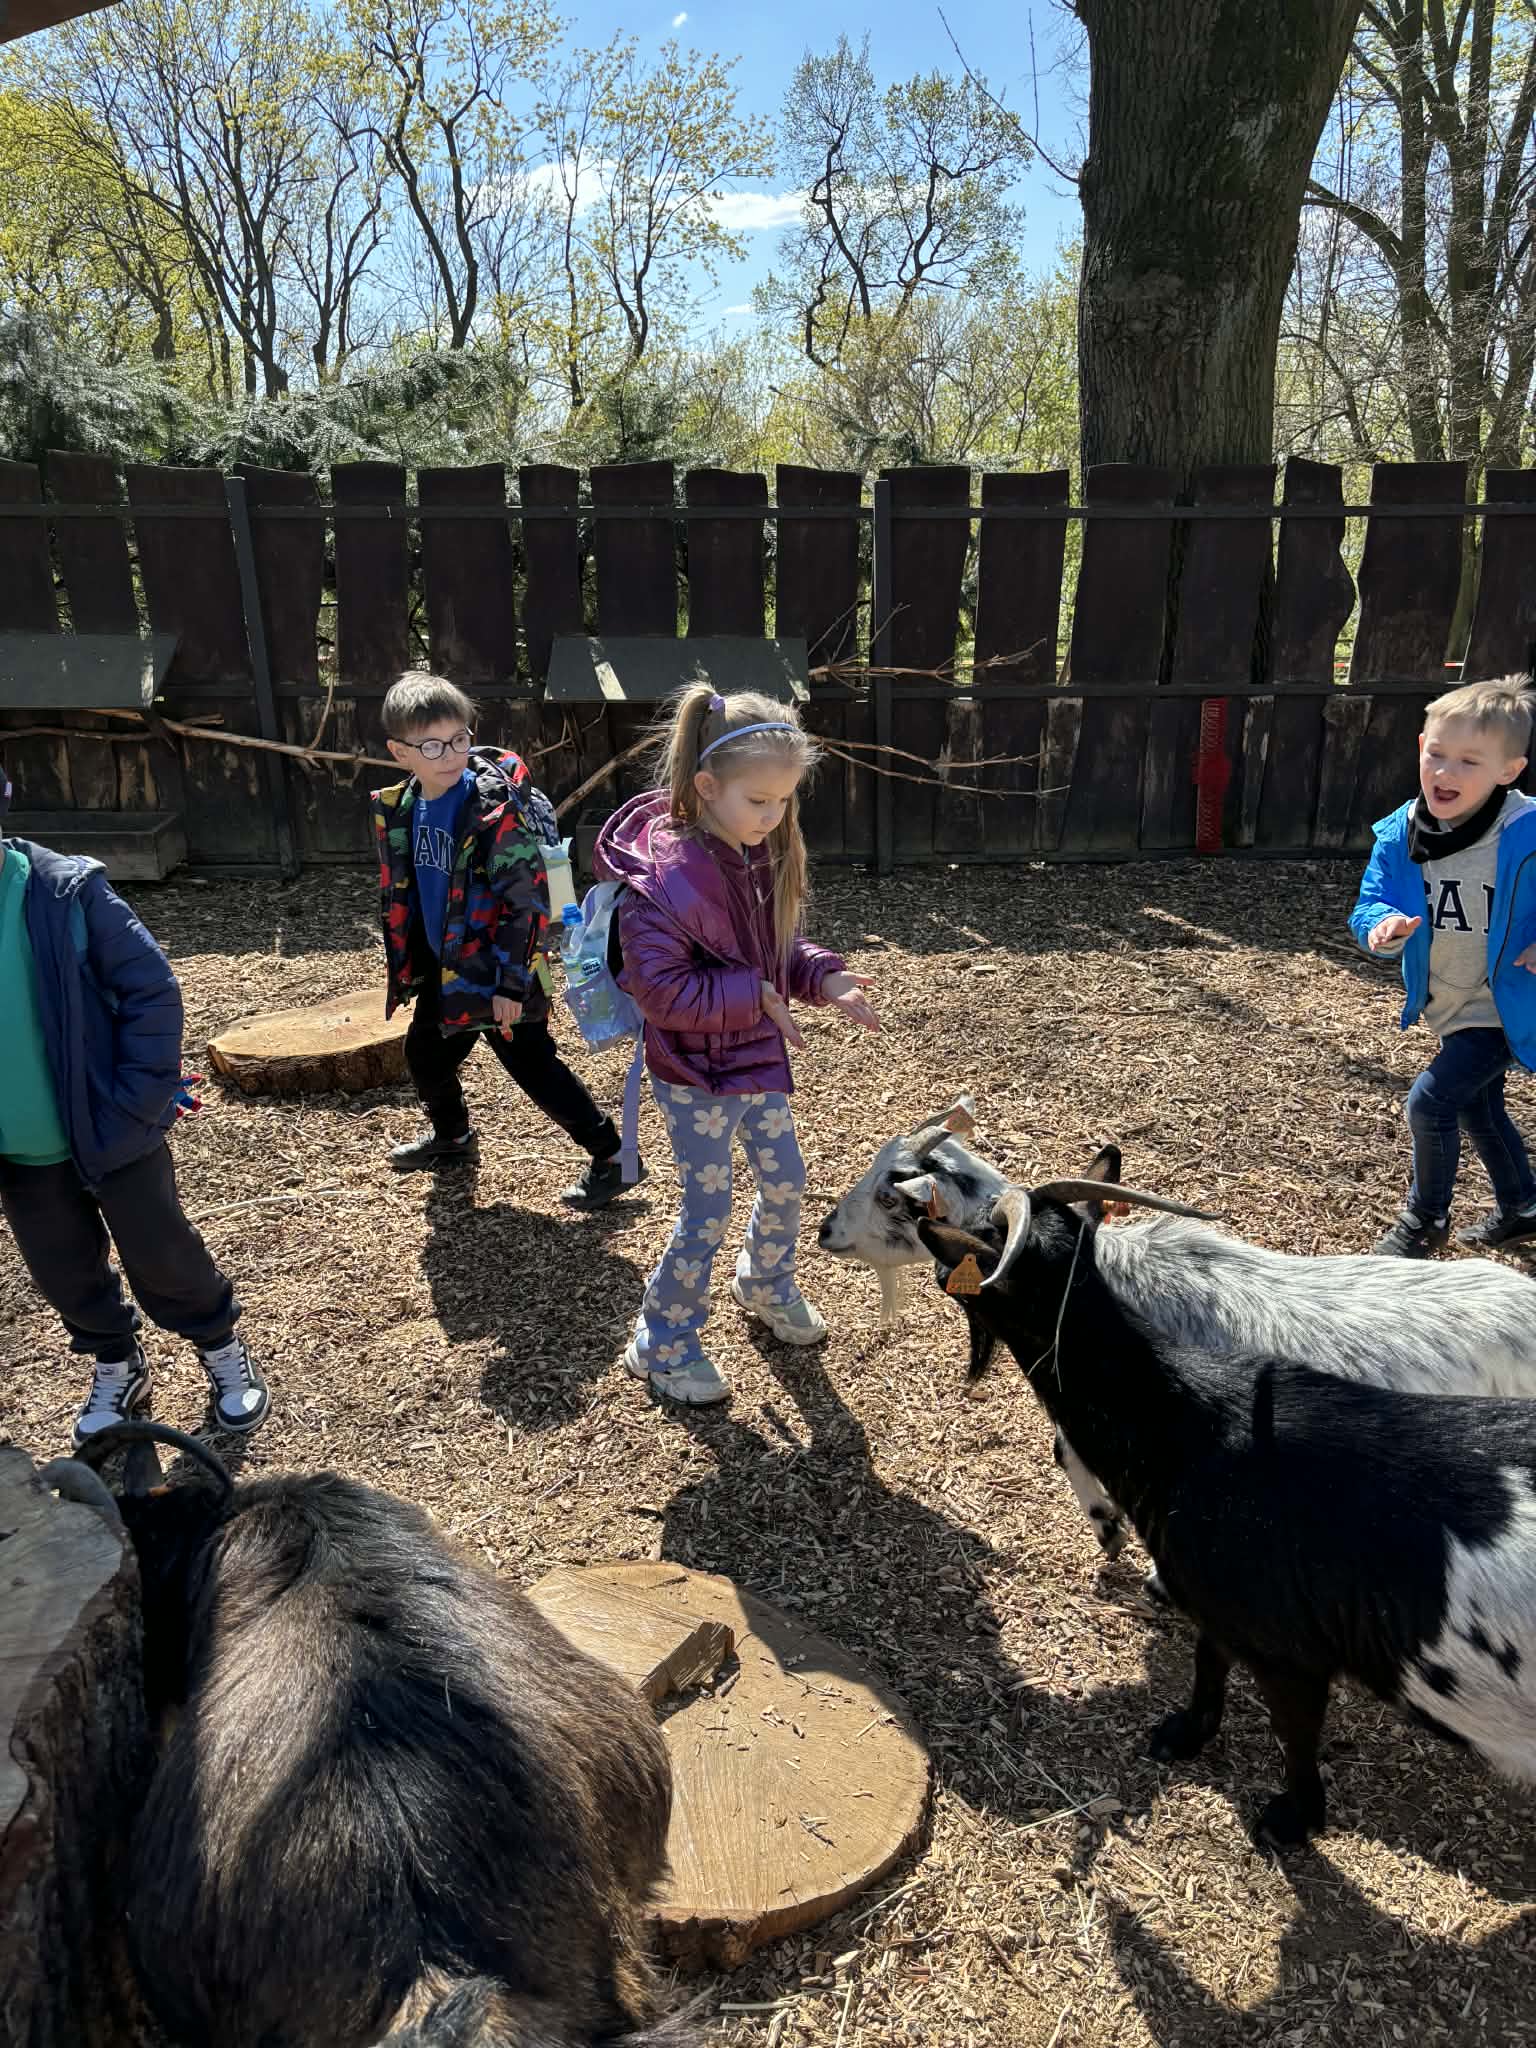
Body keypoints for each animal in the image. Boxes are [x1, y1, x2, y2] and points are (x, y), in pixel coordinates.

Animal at [917, 1178, 1536, 1845]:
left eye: (983, 1236)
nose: (925, 1229)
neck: (1190, 1427)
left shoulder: (1290, 1650)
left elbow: (1293, 1733)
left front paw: (1292, 1820)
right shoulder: (1215, 1606)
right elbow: (1207, 1662)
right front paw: (1184, 1735)